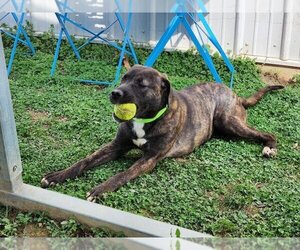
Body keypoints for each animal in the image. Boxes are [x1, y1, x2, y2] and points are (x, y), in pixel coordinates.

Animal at [41, 65, 284, 202]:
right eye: (124, 77)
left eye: (142, 84)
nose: (114, 93)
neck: (145, 120)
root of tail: (234, 94)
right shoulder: (116, 146)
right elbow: (84, 161)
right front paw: (56, 176)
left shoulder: (150, 158)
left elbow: (123, 174)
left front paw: (101, 189)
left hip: (227, 119)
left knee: (268, 133)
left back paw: (269, 147)